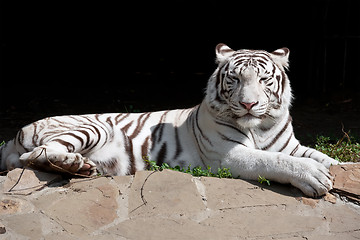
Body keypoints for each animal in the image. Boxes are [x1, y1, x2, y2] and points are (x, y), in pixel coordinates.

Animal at [0, 43, 338, 197]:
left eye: (265, 80)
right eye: (235, 80)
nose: (248, 104)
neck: (261, 127)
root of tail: (12, 136)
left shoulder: (291, 146)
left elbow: (326, 158)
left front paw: (332, 167)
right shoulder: (228, 155)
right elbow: (273, 161)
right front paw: (314, 177)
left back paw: (81, 167)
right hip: (91, 126)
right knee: (37, 155)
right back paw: (75, 164)